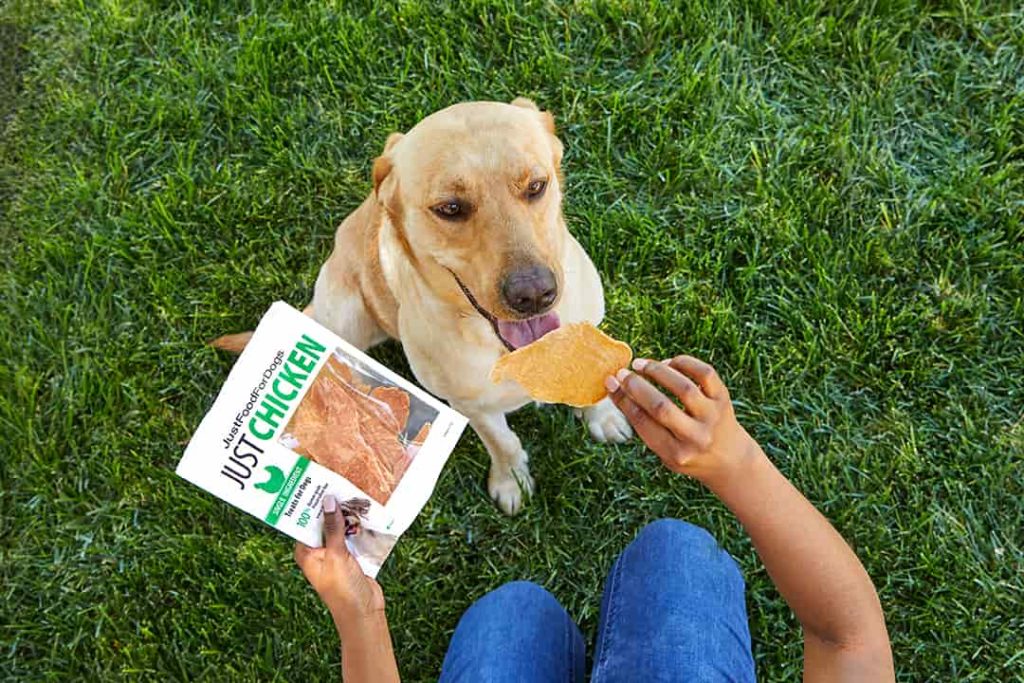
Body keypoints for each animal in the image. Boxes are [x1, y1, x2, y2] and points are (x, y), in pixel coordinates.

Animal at [214, 97, 630, 511]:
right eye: (450, 208)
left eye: (536, 186)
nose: (534, 295)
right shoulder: (469, 406)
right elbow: (503, 442)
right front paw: (510, 480)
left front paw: (603, 418)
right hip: (348, 316)